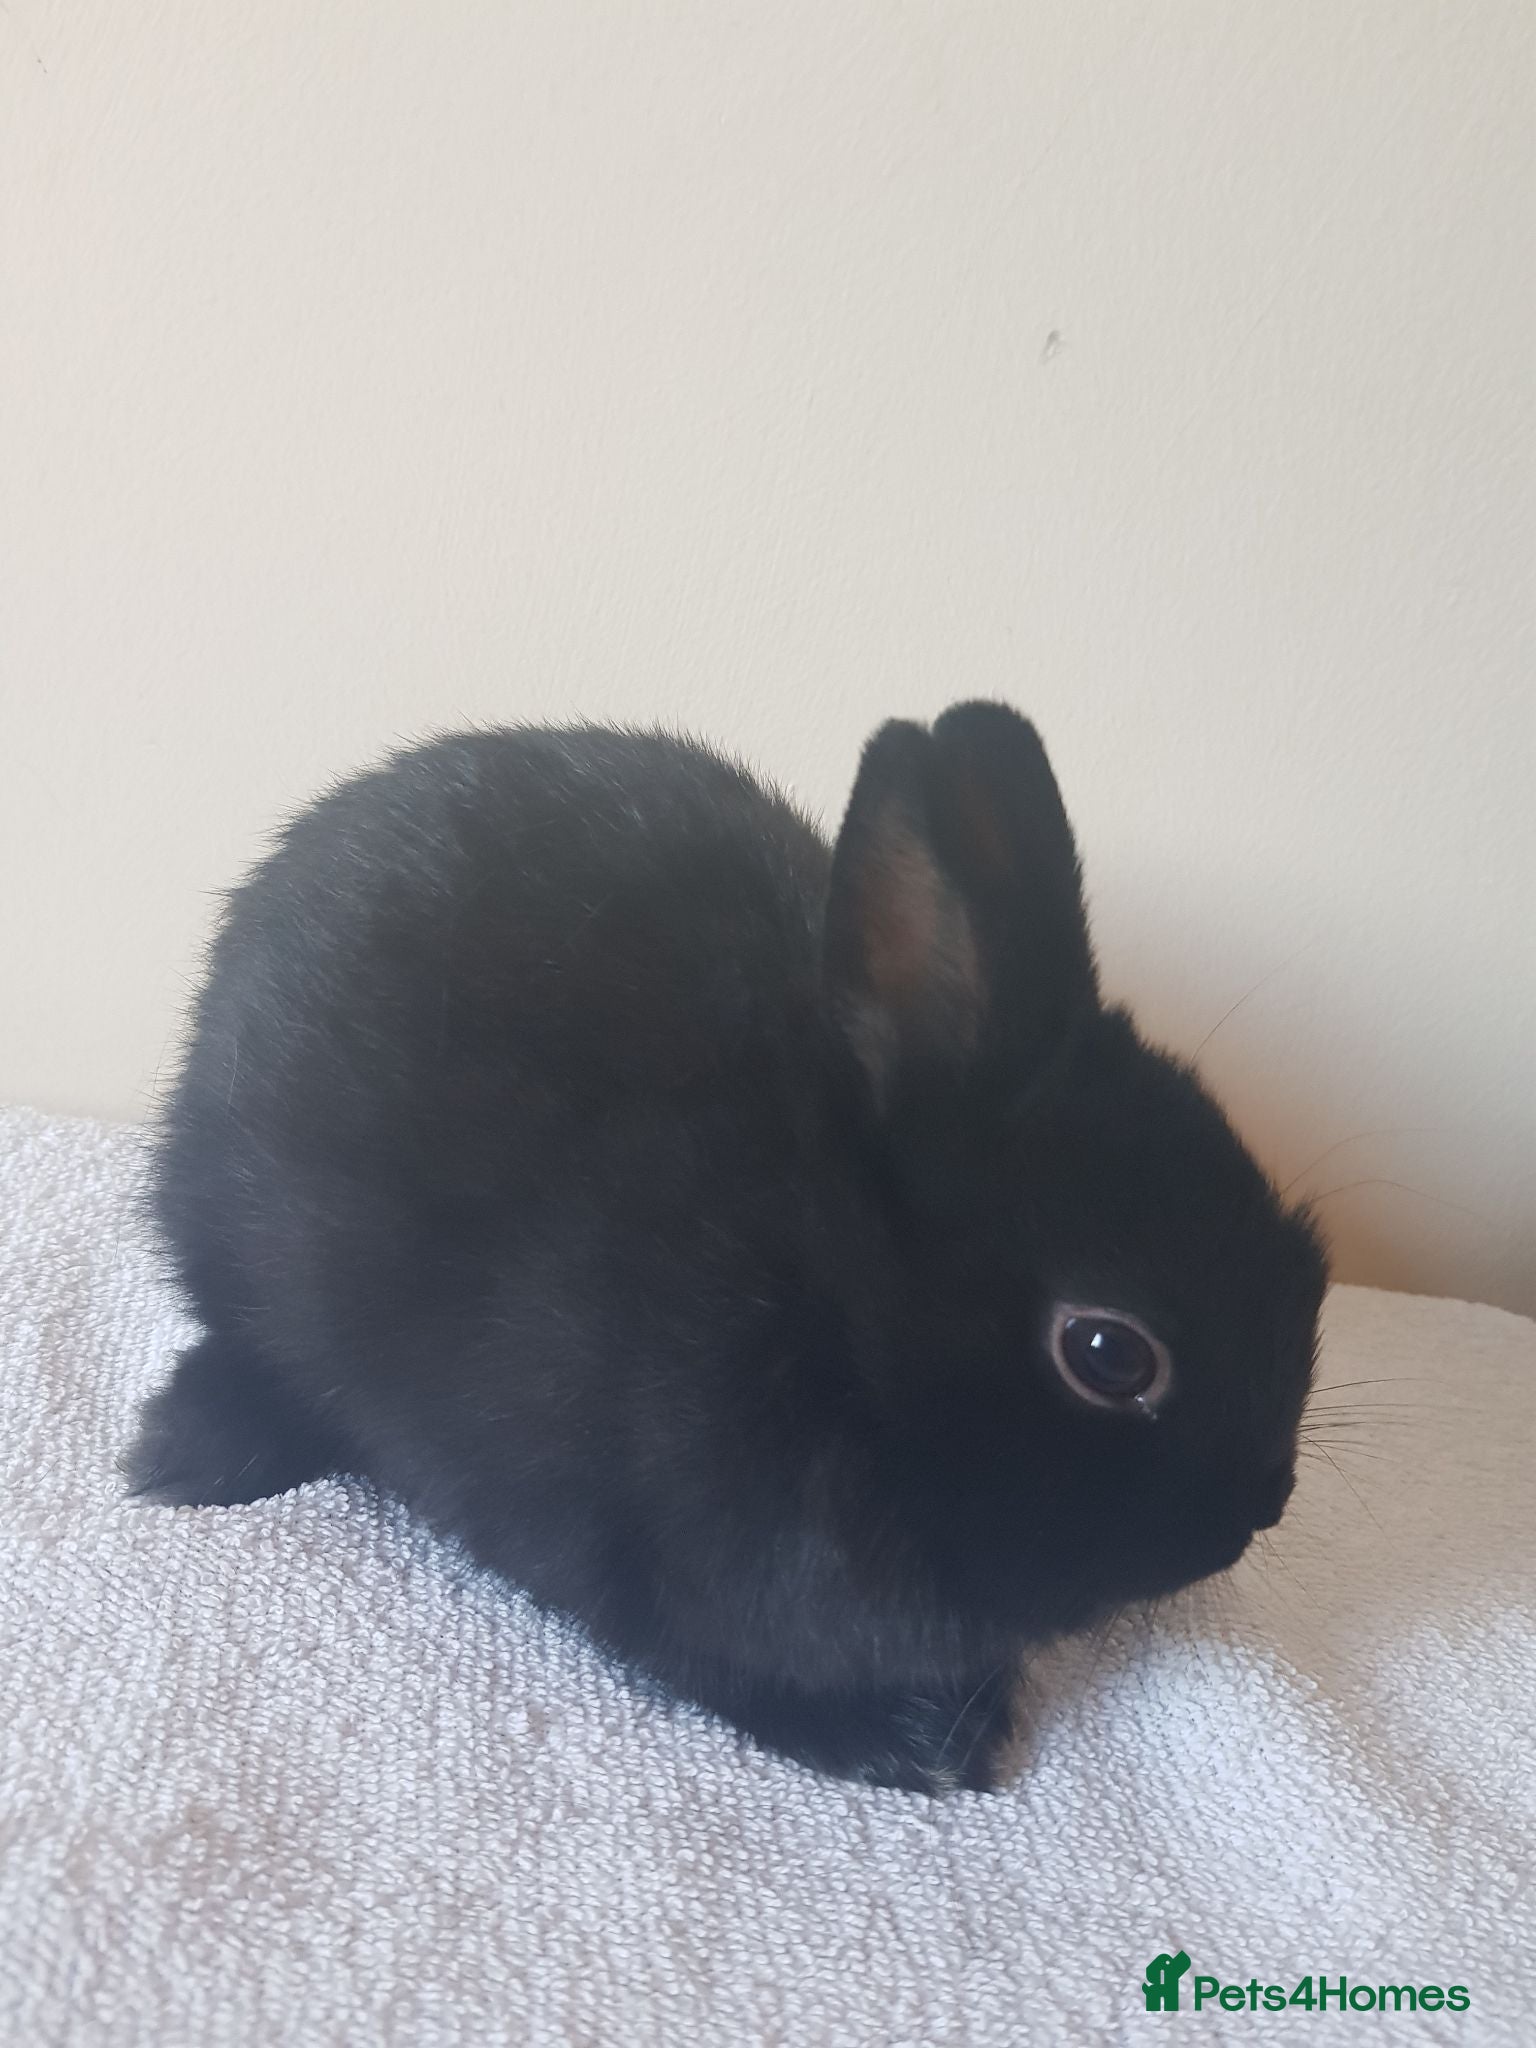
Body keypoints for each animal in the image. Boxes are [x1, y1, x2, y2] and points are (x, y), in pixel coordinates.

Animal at [127, 702, 1328, 1793]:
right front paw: (913, 1741)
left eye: (1309, 1266)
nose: (1258, 1512)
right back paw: (189, 1451)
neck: (831, 1302)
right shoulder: (618, 1549)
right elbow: (713, 1665)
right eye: (1110, 1354)